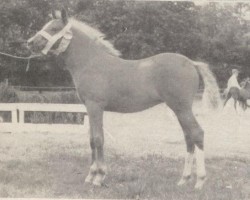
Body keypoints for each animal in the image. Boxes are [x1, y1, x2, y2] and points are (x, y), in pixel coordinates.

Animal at [26, 9, 220, 189]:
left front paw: (99, 177)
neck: (91, 62)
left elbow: (98, 139)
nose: (30, 42)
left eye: (54, 28)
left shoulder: (95, 107)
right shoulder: (89, 108)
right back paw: (184, 179)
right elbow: (91, 140)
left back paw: (199, 181)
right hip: (179, 109)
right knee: (188, 137)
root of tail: (192, 63)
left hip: (182, 108)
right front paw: (90, 175)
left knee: (197, 134)